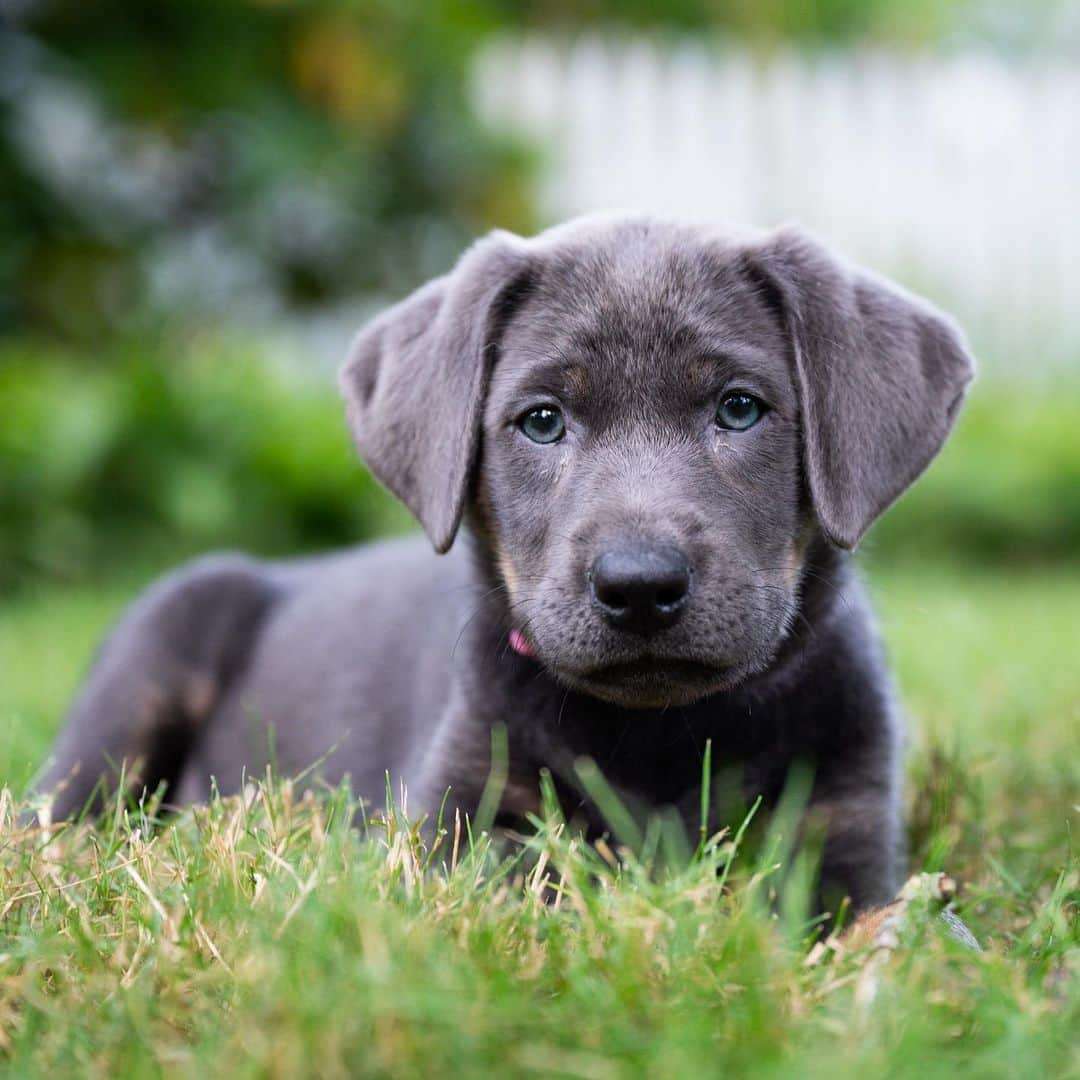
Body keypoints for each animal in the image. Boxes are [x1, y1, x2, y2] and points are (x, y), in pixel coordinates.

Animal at [38, 217, 976, 911]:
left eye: (740, 409)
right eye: (542, 420)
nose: (639, 586)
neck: (661, 736)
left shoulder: (841, 826)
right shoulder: (458, 825)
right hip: (147, 662)